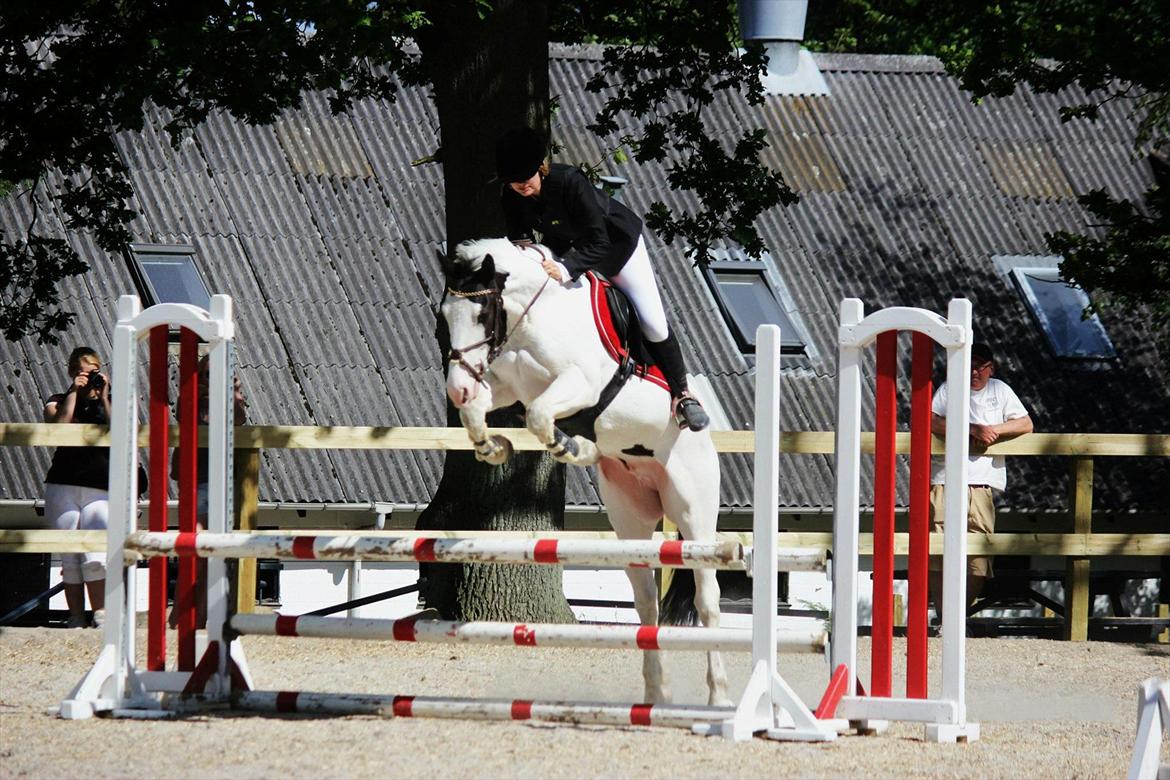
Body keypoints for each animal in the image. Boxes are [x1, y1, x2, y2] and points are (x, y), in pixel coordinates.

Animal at [442, 238, 725, 706]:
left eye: (482, 314)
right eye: (444, 315)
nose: (455, 388)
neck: (533, 317)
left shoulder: (581, 384)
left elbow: (540, 416)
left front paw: (572, 446)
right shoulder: (507, 386)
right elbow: (480, 411)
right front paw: (493, 448)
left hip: (693, 509)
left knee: (707, 600)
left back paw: (718, 700)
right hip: (630, 518)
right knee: (646, 601)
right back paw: (656, 696)